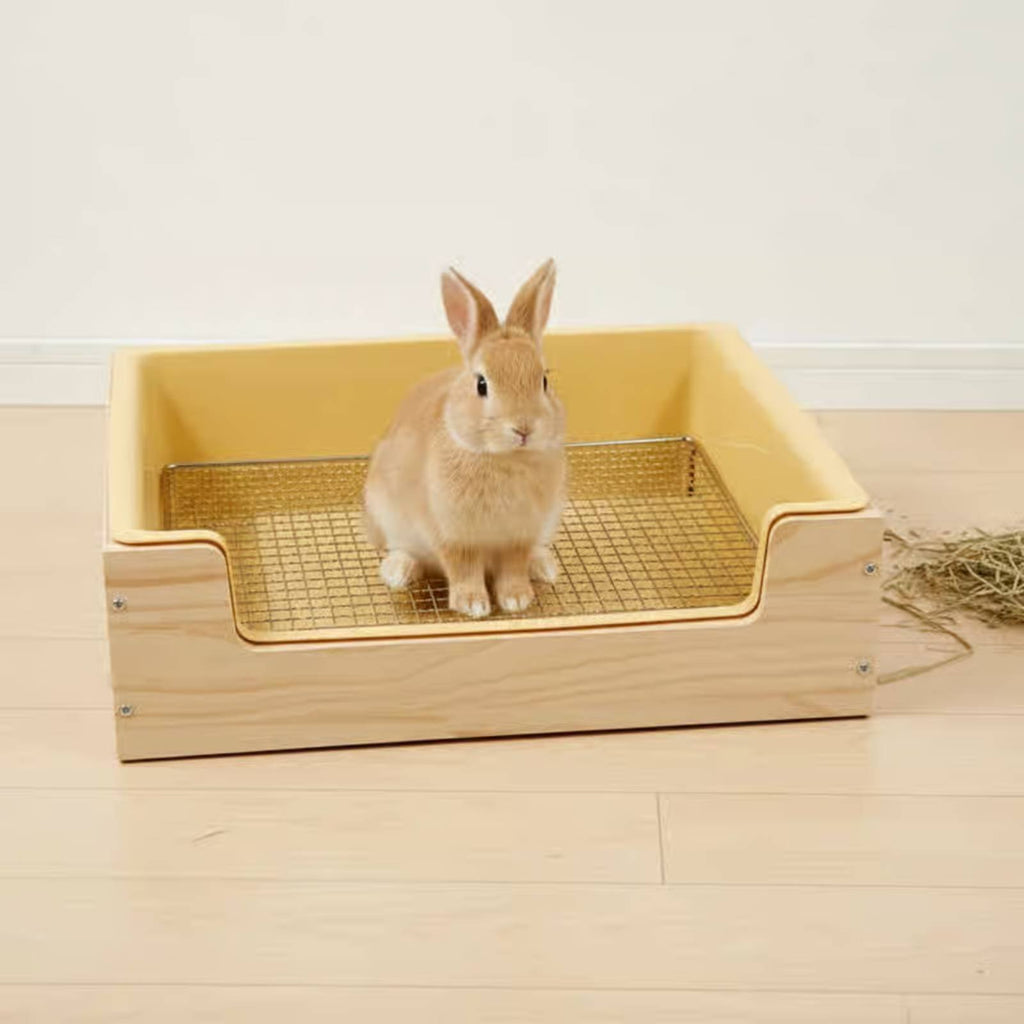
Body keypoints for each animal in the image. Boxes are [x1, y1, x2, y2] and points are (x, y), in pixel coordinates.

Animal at [364, 259, 566, 618]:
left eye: (543, 380)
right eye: (481, 384)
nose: (523, 428)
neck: (503, 458)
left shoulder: (519, 534)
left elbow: (513, 566)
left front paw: (516, 599)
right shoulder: (452, 534)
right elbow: (464, 568)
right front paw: (473, 605)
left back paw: (544, 567)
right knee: (404, 551)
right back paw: (398, 572)